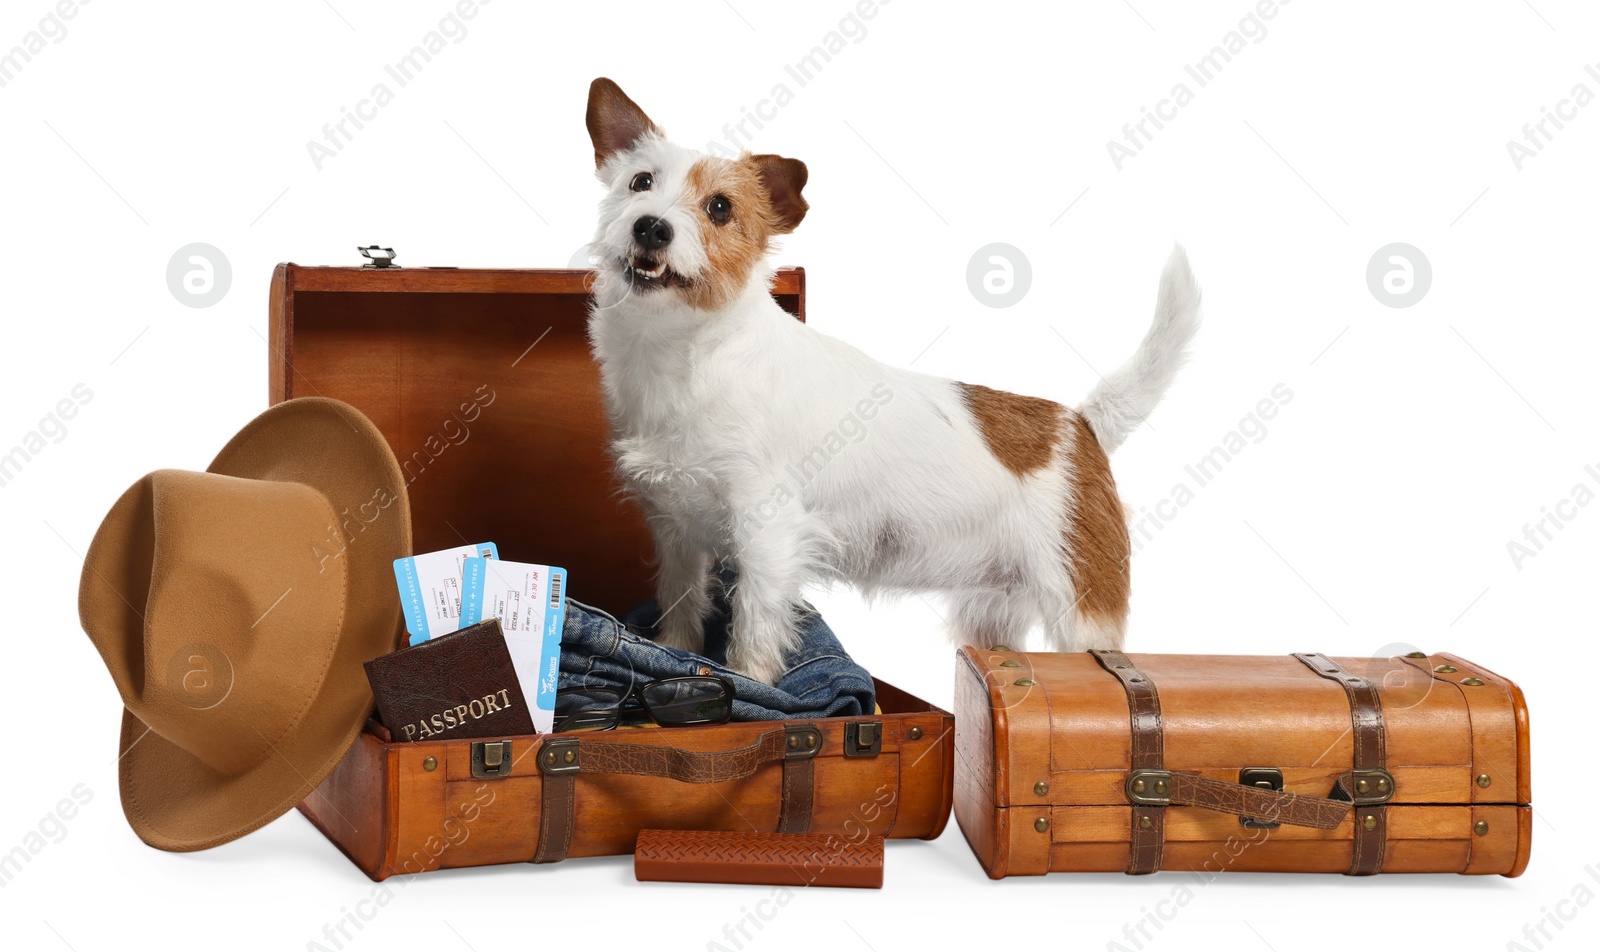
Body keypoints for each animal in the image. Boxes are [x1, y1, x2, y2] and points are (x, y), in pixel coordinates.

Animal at [582, 76, 1196, 684]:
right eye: (641, 182)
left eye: (719, 207)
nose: (651, 227)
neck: (684, 352)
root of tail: (1081, 423)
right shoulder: (676, 531)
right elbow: (682, 603)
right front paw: (672, 651)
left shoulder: (768, 536)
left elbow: (753, 629)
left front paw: (748, 682)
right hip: (993, 612)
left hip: (1081, 607)